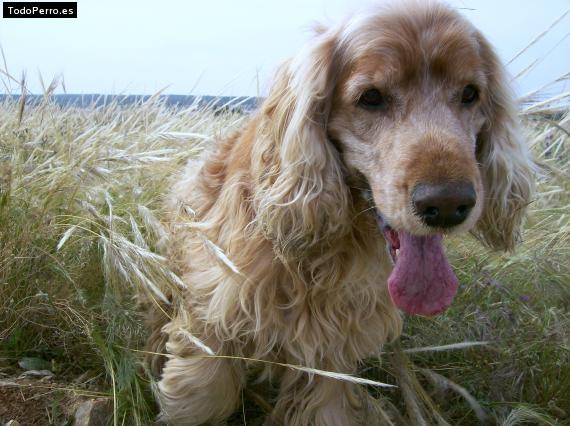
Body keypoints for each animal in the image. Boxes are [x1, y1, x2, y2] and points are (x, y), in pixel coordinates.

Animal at [148, 2, 532, 422]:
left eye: (469, 94)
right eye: (371, 97)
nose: (448, 205)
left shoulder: (333, 350)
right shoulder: (213, 313)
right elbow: (203, 397)